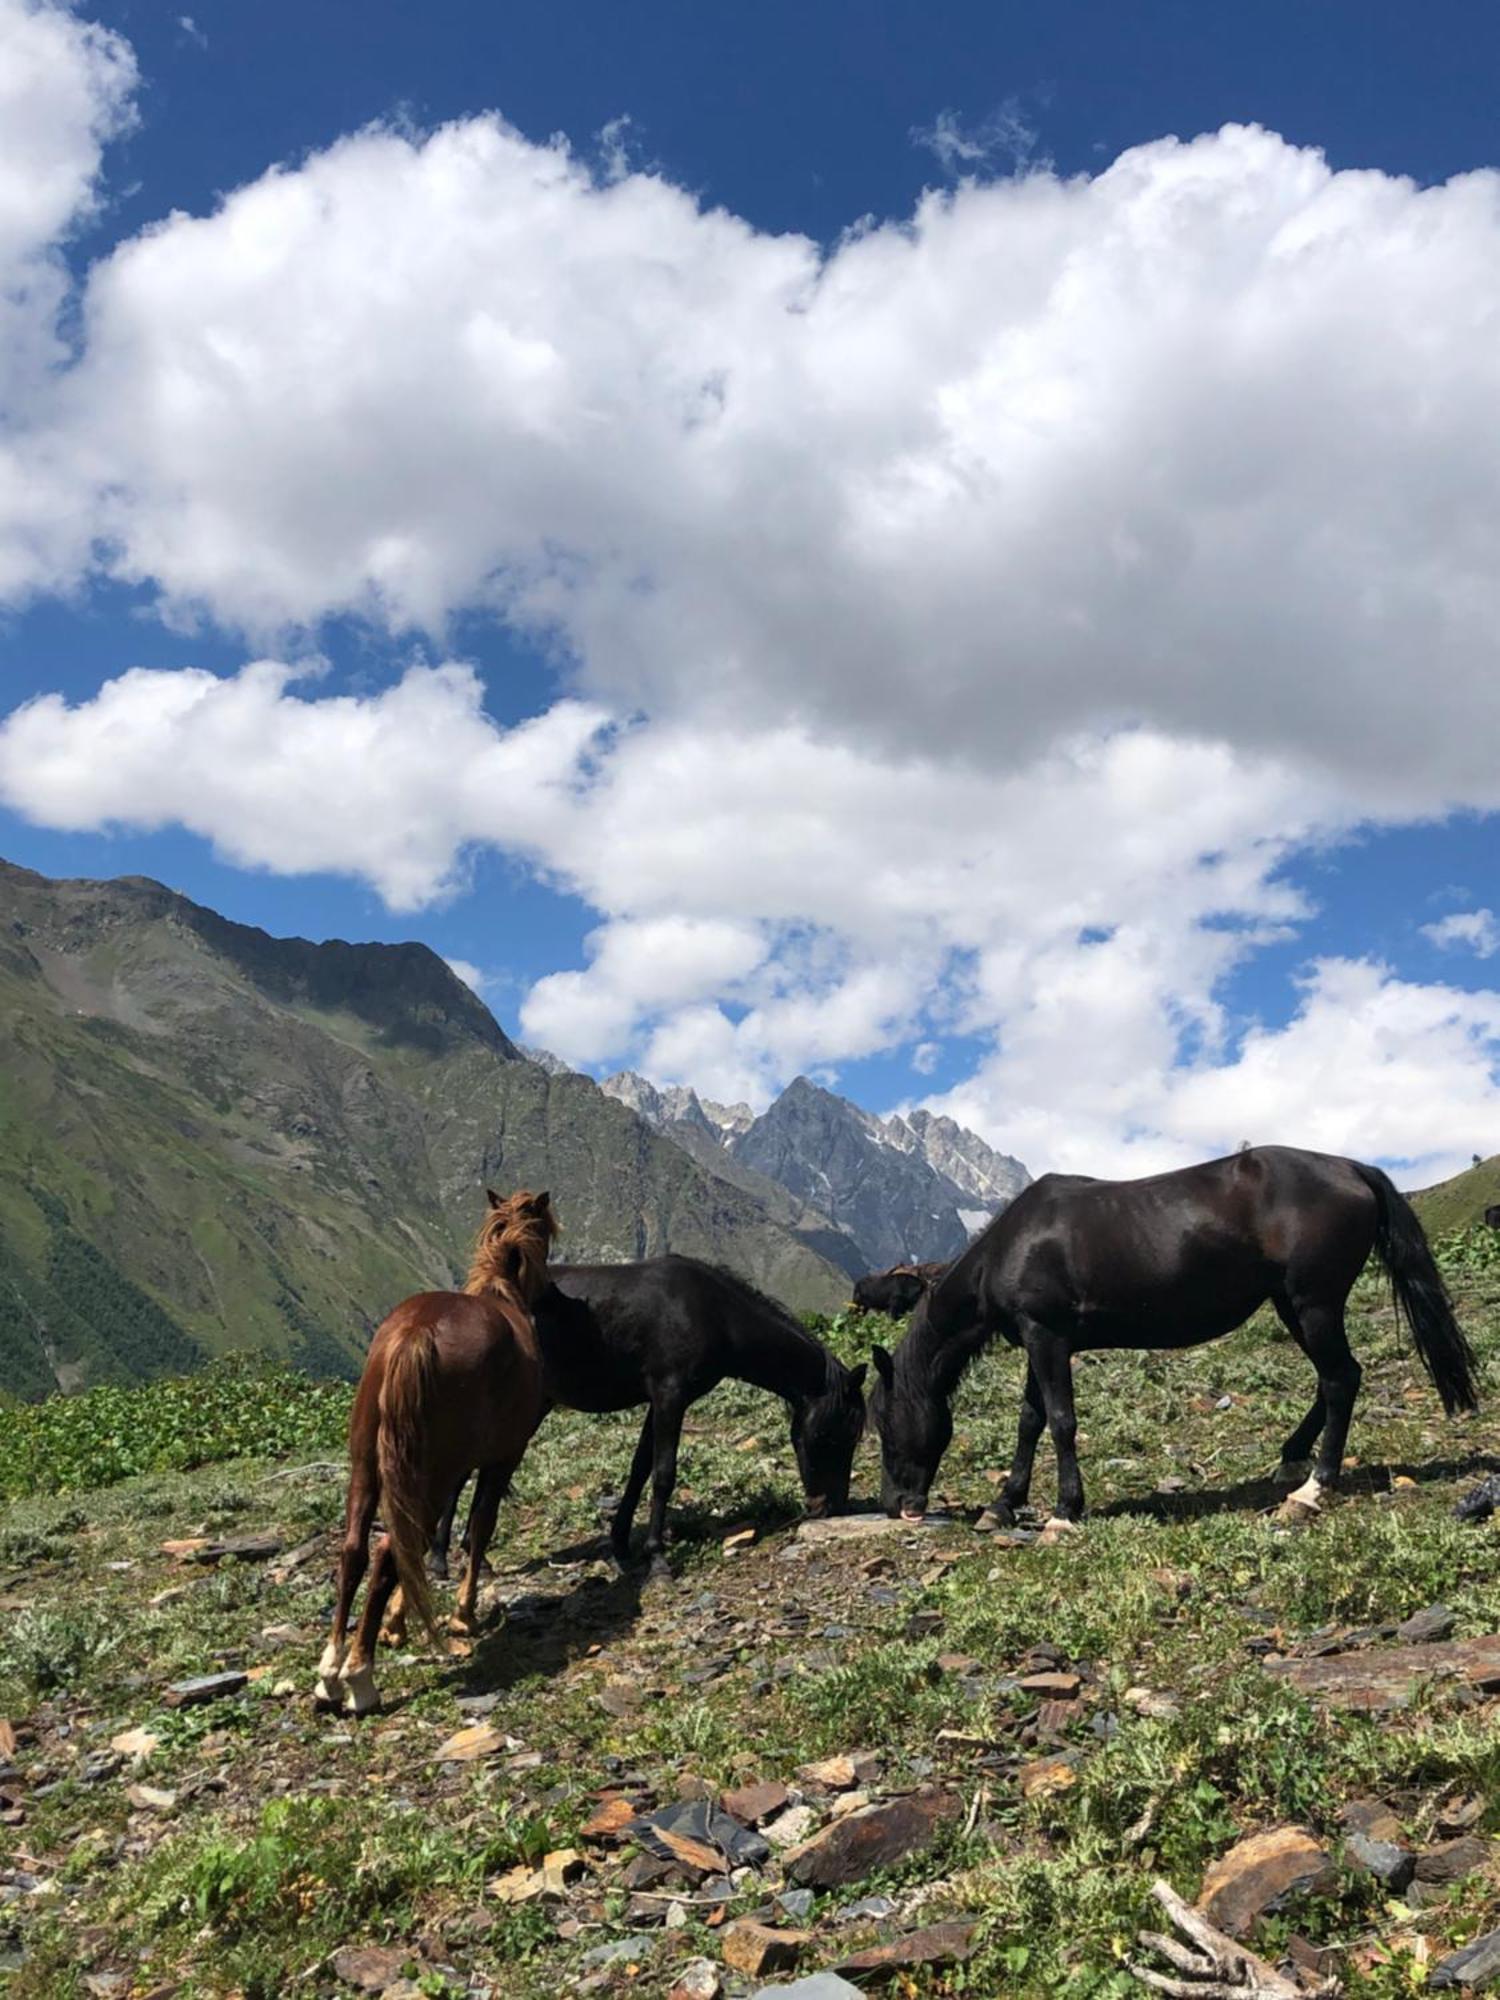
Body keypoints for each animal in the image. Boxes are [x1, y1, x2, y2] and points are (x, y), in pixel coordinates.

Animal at [314, 1184, 560, 1720]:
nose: (552, 1294)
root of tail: (414, 1335)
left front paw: (399, 1619)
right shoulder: (501, 1458)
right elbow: (480, 1526)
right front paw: (462, 1614)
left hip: (370, 1468)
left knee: (357, 1549)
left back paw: (331, 1672)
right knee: (389, 1550)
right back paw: (361, 1677)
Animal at [434, 1248, 864, 1576]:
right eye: (832, 1435)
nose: (830, 1507)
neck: (712, 1312)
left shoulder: (657, 1401)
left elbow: (640, 1469)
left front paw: (621, 1545)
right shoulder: (670, 1396)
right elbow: (663, 1473)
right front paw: (658, 1557)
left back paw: (475, 1555)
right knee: (461, 1474)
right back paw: (441, 1560)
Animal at [868, 1152, 1480, 1520]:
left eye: (886, 1425)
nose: (898, 1504)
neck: (1010, 1247)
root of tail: (1352, 1167)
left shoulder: (1048, 1338)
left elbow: (1060, 1422)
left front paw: (1066, 1510)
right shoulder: (1037, 1340)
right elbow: (1030, 1421)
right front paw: (1005, 1503)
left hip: (1314, 1304)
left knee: (1339, 1380)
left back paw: (1314, 1486)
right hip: (1292, 1305)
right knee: (1335, 1378)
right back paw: (1291, 1459)